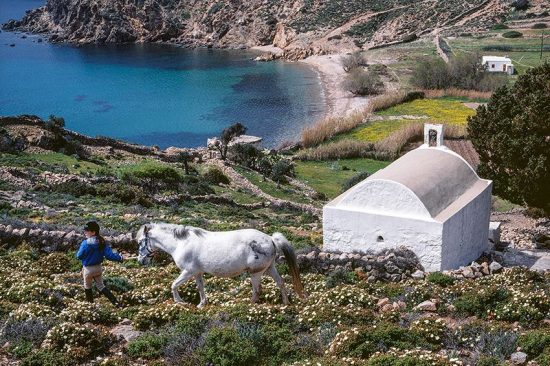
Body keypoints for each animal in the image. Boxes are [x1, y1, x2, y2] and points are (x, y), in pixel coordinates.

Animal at [134, 223, 306, 306]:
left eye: (141, 241)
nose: (141, 260)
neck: (182, 243)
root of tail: (271, 239)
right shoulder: (197, 272)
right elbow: (200, 288)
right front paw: (201, 304)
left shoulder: (188, 271)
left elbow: (173, 284)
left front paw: (179, 301)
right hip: (270, 268)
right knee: (281, 283)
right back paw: (286, 303)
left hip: (256, 272)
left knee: (257, 290)